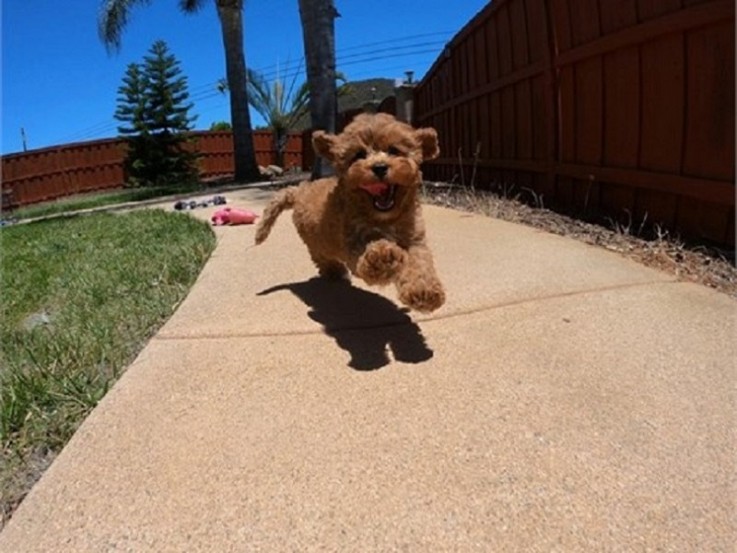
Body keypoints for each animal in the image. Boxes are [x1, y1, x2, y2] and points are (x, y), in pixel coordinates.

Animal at [256, 112, 446, 312]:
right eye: (359, 155)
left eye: (394, 150)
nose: (379, 167)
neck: (384, 218)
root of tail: (300, 190)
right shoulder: (353, 238)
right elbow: (365, 251)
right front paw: (382, 257)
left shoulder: (414, 238)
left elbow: (420, 262)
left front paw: (423, 291)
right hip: (316, 241)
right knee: (320, 257)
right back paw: (335, 271)